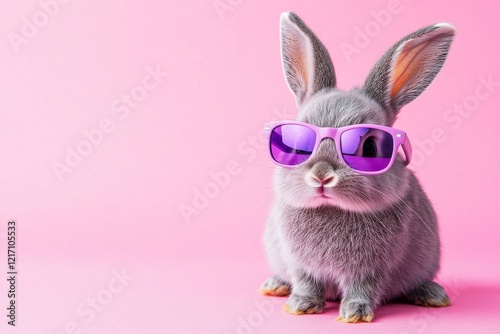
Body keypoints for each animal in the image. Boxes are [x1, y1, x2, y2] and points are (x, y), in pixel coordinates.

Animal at [260, 13, 456, 324]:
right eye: (297, 144)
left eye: (370, 148)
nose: (321, 176)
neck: (332, 210)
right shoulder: (299, 264)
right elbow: (305, 283)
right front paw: (300, 306)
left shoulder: (371, 270)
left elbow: (361, 288)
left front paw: (355, 314)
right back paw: (274, 285)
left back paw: (433, 295)